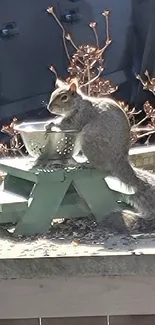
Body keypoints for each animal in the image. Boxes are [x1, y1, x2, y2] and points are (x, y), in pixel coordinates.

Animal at [45, 78, 155, 220]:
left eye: (64, 97)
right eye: (53, 94)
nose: (49, 107)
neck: (79, 104)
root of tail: (118, 161)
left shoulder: (82, 116)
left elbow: (69, 124)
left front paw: (52, 123)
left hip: (90, 140)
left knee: (100, 166)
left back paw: (85, 164)